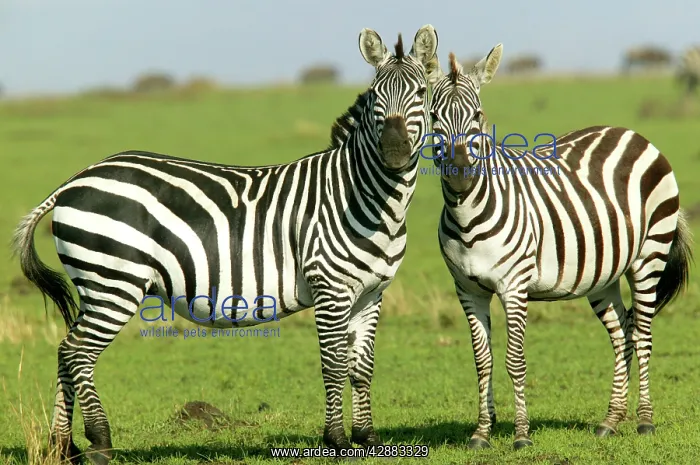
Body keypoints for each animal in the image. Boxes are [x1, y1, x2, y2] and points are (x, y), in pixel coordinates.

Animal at [12, 25, 439, 464]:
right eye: (375, 94)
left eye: (422, 92)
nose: (394, 152)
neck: (364, 197)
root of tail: (73, 181)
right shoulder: (330, 288)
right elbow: (334, 364)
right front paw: (336, 441)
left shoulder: (371, 293)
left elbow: (362, 367)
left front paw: (367, 438)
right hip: (114, 281)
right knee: (78, 353)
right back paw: (99, 442)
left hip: (97, 284)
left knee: (65, 350)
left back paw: (63, 446)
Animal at [424, 46, 693, 449]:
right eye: (433, 116)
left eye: (478, 115)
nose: (460, 172)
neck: (467, 216)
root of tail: (632, 133)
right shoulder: (468, 290)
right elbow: (482, 361)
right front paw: (481, 433)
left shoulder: (514, 286)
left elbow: (514, 360)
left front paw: (521, 435)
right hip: (603, 275)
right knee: (623, 333)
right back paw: (611, 421)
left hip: (649, 256)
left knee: (642, 334)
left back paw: (645, 421)